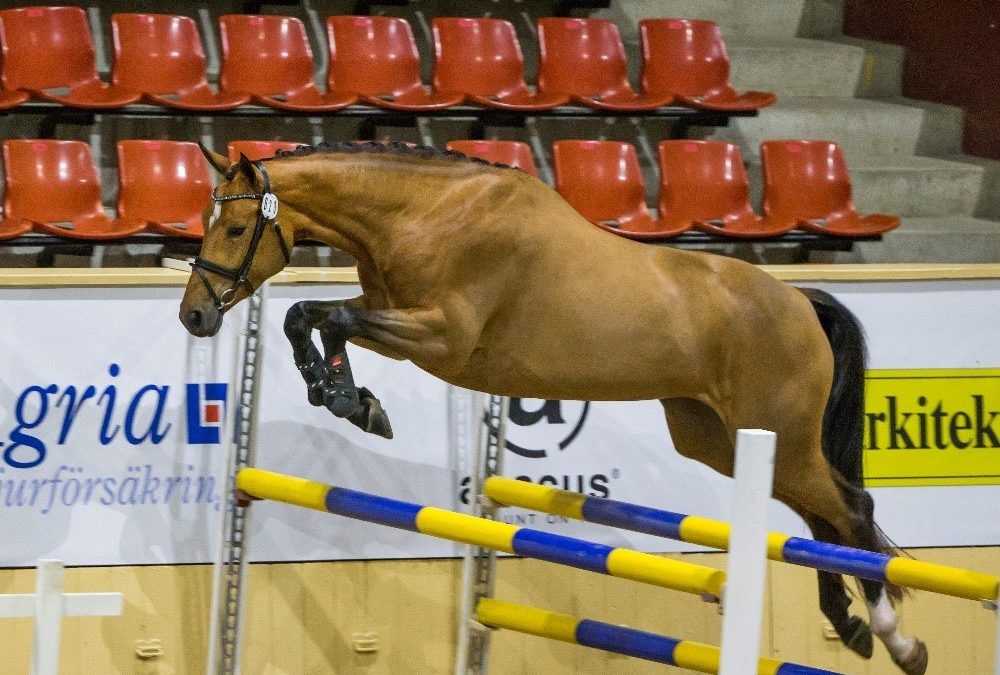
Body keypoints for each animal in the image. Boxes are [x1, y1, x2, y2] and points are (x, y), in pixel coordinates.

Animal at [178, 140, 928, 672]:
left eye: (237, 226)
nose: (194, 316)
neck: (426, 214)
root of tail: (800, 298)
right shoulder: (396, 318)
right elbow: (307, 315)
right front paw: (345, 394)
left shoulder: (440, 336)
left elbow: (326, 317)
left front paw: (347, 399)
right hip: (719, 437)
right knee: (821, 515)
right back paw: (852, 625)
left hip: (777, 434)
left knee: (851, 507)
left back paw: (896, 639)